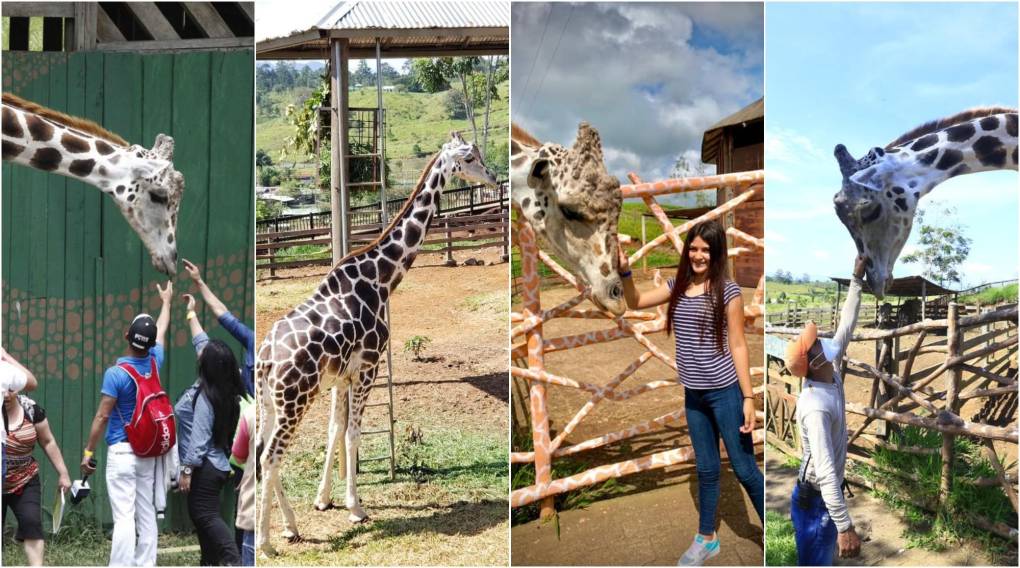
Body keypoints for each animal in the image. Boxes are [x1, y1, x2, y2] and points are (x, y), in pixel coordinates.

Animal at [259, 132, 497, 554]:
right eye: (469, 157)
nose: (494, 177)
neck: (381, 278)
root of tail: (265, 358)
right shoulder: (368, 367)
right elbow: (352, 434)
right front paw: (356, 508)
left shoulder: (341, 377)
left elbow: (335, 431)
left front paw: (323, 500)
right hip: (294, 400)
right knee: (270, 458)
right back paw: (266, 542)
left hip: (270, 402)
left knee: (258, 458)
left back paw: (289, 526)